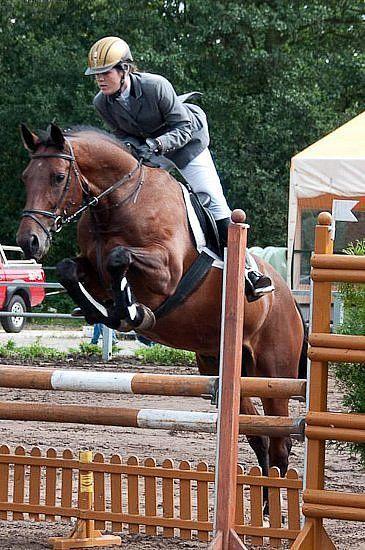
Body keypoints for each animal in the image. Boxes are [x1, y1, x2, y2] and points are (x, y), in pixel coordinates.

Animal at [17, 123, 308, 506]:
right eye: (25, 177)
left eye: (58, 177)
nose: (29, 242)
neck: (118, 204)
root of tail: (290, 299)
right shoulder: (90, 269)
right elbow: (69, 269)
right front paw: (107, 311)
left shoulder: (165, 271)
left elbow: (120, 258)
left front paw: (132, 312)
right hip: (221, 364)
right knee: (258, 436)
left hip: (275, 371)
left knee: (280, 441)